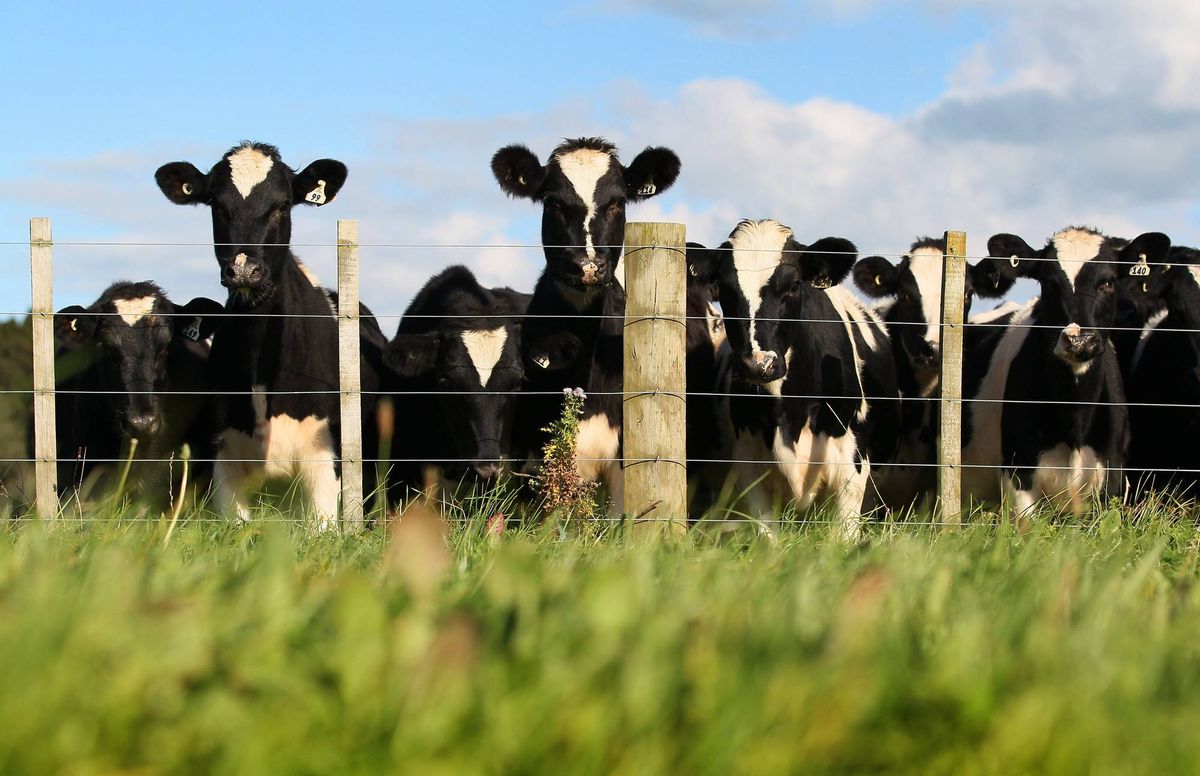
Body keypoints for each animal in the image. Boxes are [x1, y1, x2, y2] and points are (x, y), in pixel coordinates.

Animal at [687, 219, 900, 540]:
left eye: (794, 285)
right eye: (724, 289)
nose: (758, 363)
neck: (791, 413)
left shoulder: (851, 469)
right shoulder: (749, 470)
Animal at [962, 226, 1171, 515]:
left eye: (1108, 282)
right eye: (1049, 282)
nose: (1079, 340)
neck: (1074, 418)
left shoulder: (1112, 482)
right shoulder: (1018, 477)